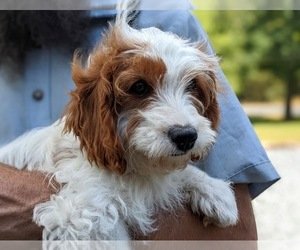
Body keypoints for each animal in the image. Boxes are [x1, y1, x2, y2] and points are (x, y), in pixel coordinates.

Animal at [0, 1, 239, 240]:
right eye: (139, 87)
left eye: (192, 85)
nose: (186, 136)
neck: (133, 169)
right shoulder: (82, 213)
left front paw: (212, 188)